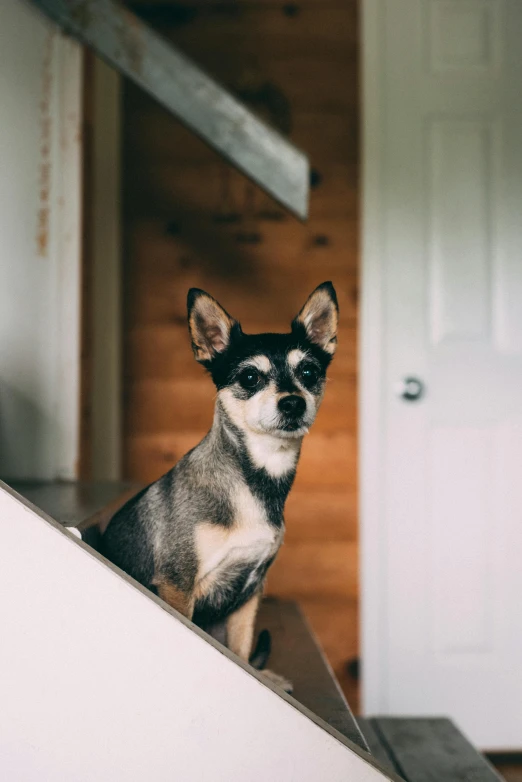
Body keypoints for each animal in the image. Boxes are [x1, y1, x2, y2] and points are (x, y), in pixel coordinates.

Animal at [99, 282, 338, 692]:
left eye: (308, 371)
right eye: (250, 378)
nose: (292, 403)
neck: (254, 478)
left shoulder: (249, 592)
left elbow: (240, 651)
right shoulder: (178, 584)